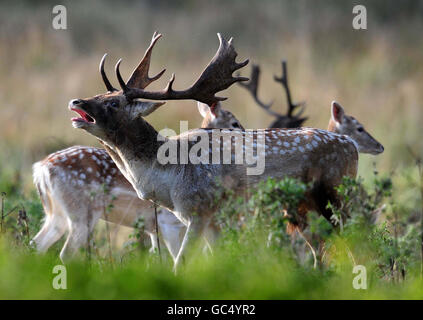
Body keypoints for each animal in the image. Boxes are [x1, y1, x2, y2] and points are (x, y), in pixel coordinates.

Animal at [30, 100, 242, 262]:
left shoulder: (155, 227)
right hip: (80, 213)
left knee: (37, 244)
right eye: (234, 123)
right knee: (66, 253)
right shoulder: (168, 222)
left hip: (56, 213)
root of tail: (41, 168)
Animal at [67, 32, 378, 270]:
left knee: (359, 237)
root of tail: (351, 145)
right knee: (321, 251)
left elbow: (180, 263)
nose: (76, 101)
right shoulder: (213, 220)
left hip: (336, 190)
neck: (167, 176)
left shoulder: (199, 210)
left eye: (114, 103)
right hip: (301, 207)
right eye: (102, 94)